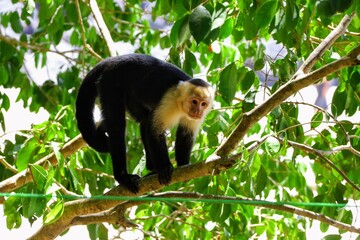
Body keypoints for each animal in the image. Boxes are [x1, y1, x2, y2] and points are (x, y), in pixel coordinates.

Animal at [74, 54, 212, 193]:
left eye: (203, 104)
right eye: (194, 101)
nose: (198, 111)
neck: (180, 103)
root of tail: (112, 60)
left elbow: (186, 134)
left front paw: (184, 165)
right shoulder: (169, 100)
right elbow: (154, 130)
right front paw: (164, 168)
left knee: (144, 120)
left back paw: (151, 168)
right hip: (110, 81)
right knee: (118, 126)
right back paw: (124, 177)